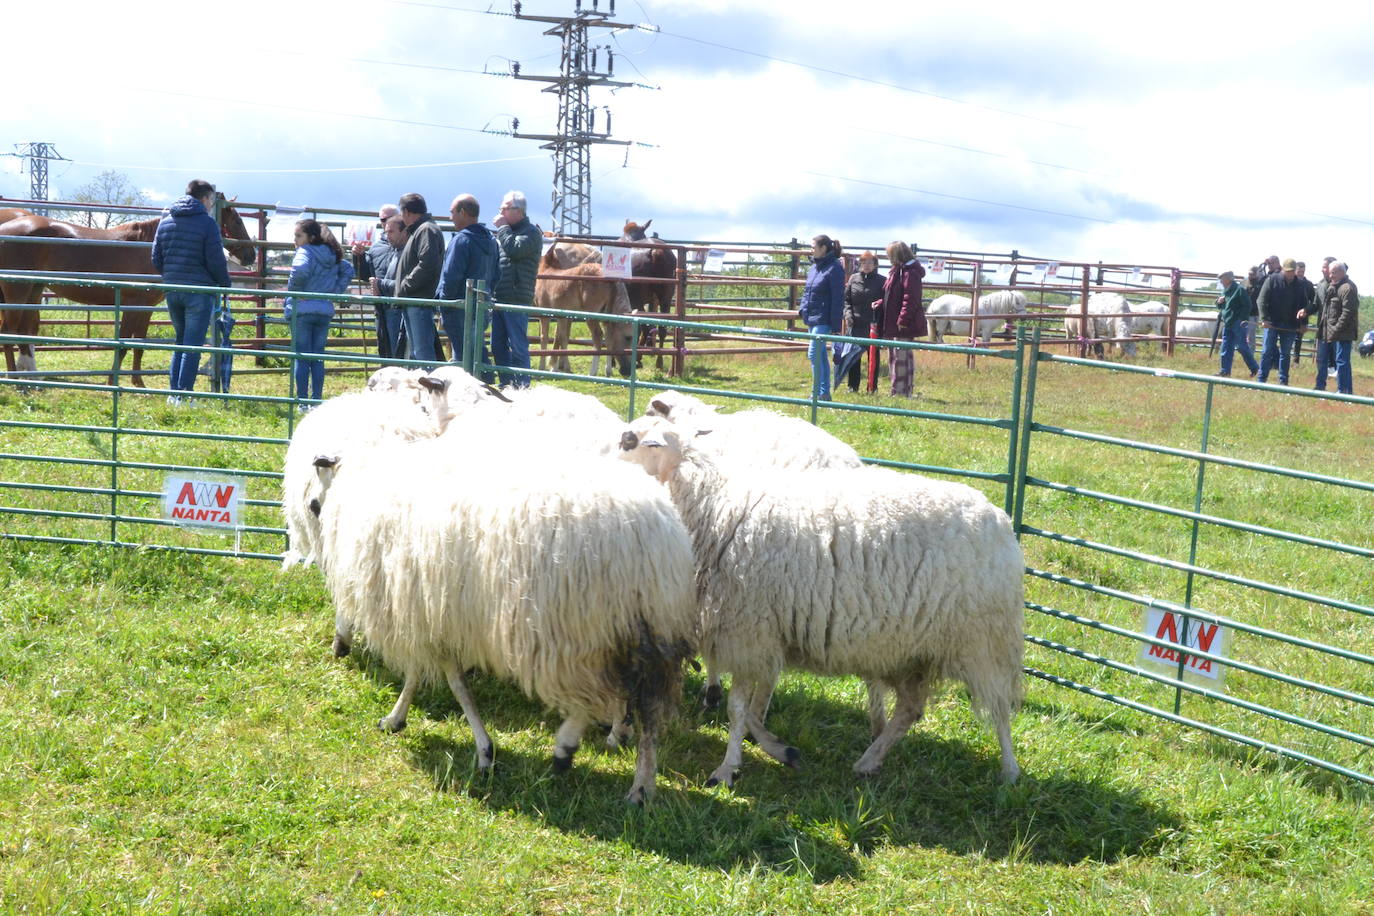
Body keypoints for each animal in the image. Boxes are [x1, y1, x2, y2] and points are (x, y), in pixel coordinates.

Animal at [0, 199, 255, 384]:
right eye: (237, 221)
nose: (251, 256)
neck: (151, 245)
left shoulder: (146, 308)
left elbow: (139, 344)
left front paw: (138, 383)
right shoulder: (133, 304)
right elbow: (123, 342)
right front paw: (112, 382)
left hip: (33, 291)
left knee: (24, 331)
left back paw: (31, 377)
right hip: (17, 292)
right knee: (9, 331)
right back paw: (15, 380)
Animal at [311, 436, 697, 802]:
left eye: (319, 485)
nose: (314, 509)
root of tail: (649, 531)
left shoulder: (418, 612)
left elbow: (444, 680)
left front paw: (477, 747)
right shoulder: (433, 616)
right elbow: (434, 675)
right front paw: (402, 718)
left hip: (571, 633)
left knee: (594, 698)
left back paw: (568, 747)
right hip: (649, 627)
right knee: (647, 705)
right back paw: (641, 785)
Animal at [618, 420, 1027, 791]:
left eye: (634, 441)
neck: (714, 505)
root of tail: (1000, 520)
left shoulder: (748, 630)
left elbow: (738, 710)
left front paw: (727, 769)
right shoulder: (762, 636)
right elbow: (751, 710)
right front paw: (777, 749)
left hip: (983, 639)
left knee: (1000, 708)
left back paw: (1009, 771)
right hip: (910, 651)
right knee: (910, 709)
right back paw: (869, 761)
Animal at [626, 219, 678, 368]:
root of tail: (655, 251)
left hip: (637, 300)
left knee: (644, 327)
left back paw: (639, 358)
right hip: (665, 298)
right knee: (661, 329)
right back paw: (658, 361)